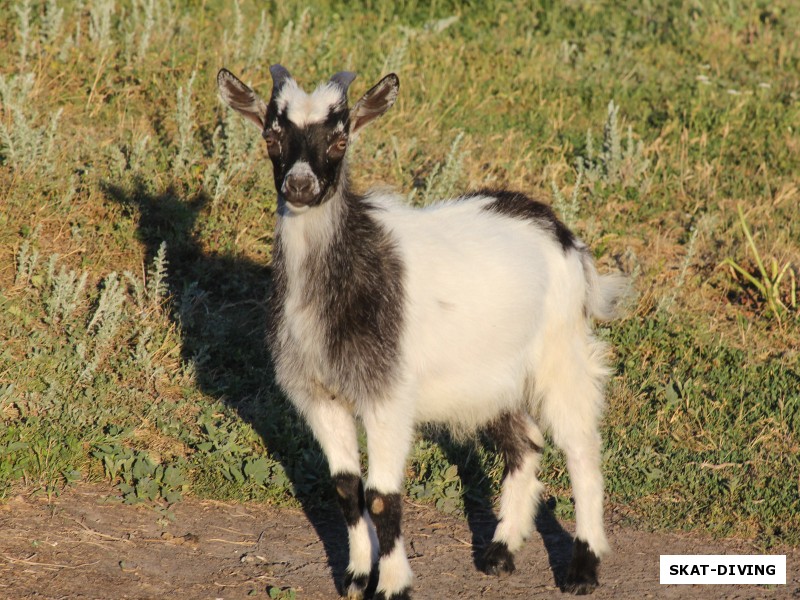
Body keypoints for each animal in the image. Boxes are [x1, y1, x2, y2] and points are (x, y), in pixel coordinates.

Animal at [217, 63, 624, 596]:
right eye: (271, 135)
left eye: (340, 139)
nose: (300, 186)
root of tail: (559, 230)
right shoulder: (319, 395)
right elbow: (347, 489)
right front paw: (355, 577)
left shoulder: (388, 395)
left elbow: (382, 496)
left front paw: (393, 585)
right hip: (492, 377)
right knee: (526, 444)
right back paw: (500, 551)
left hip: (560, 351)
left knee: (581, 449)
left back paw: (583, 567)